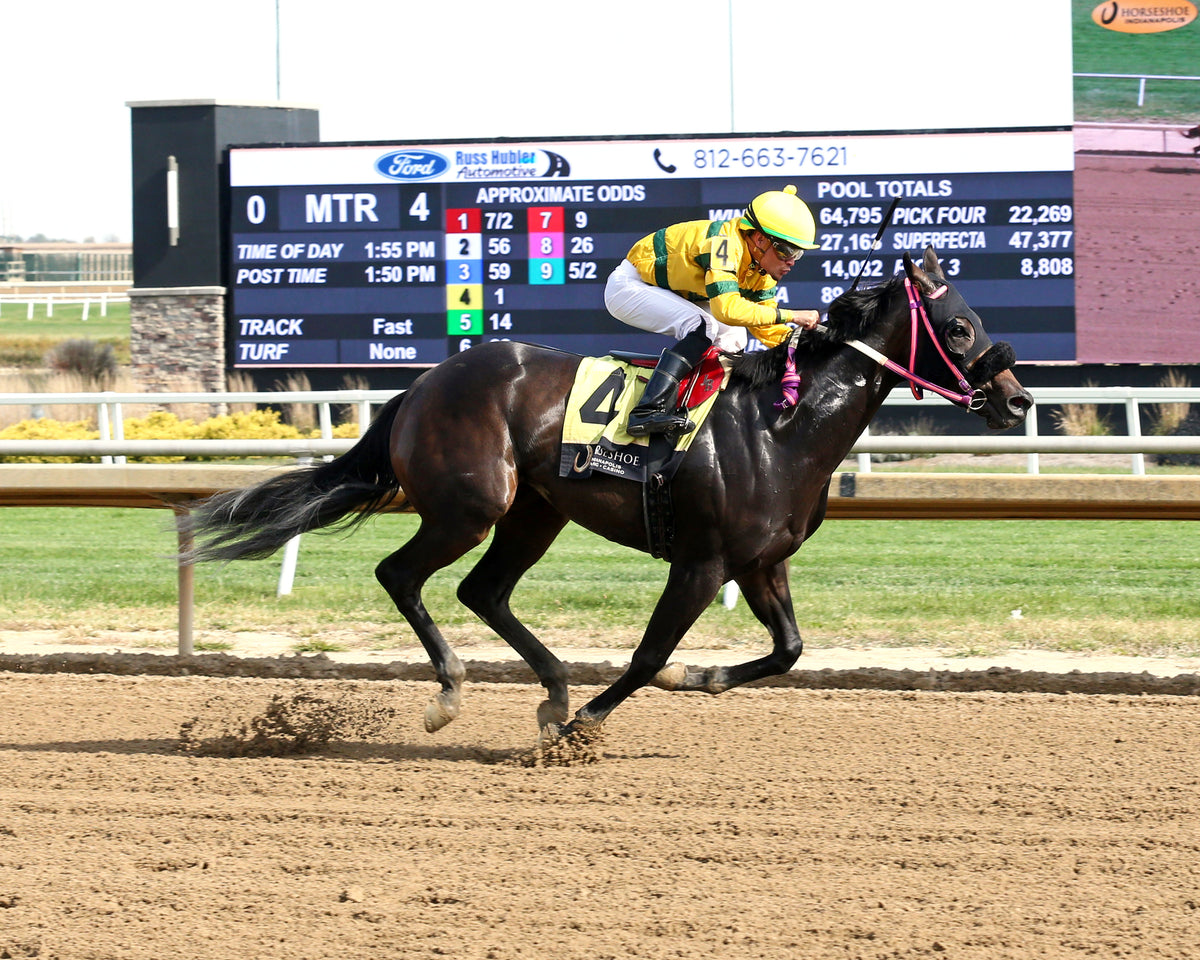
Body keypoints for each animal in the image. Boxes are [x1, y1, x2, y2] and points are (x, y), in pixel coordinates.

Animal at [182, 248, 1033, 745]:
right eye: (959, 329)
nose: (1017, 398)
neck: (782, 425)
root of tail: (424, 382)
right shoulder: (702, 561)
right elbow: (651, 651)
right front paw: (590, 724)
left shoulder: (762, 563)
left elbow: (789, 650)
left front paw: (698, 680)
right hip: (472, 504)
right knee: (403, 575)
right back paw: (456, 693)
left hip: (536, 511)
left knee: (483, 590)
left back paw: (554, 690)